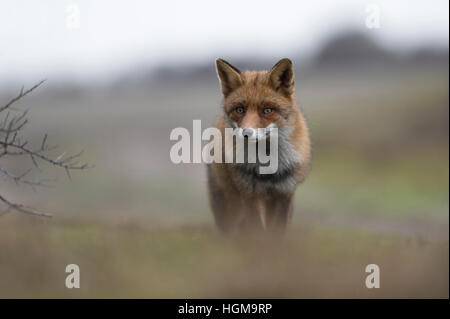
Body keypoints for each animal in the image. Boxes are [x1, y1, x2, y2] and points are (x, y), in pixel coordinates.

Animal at [208, 58, 312, 235]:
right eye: (240, 109)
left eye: (267, 110)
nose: (246, 133)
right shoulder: (249, 194)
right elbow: (257, 229)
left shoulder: (284, 193)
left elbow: (277, 230)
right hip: (229, 206)